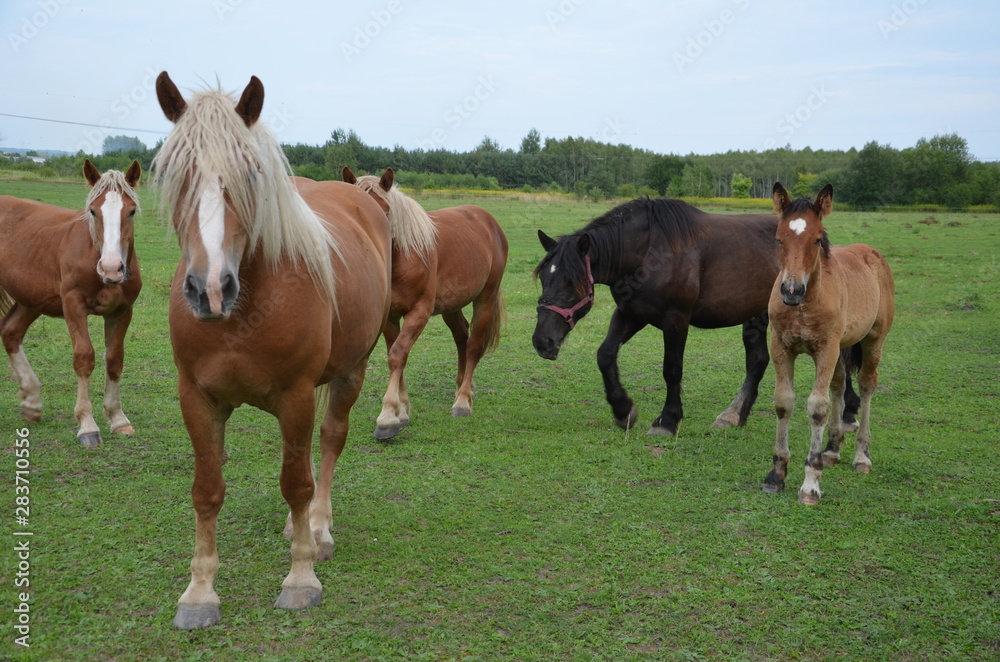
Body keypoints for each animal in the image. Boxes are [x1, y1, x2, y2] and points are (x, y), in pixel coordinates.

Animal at [0, 159, 142, 447]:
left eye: (131, 211)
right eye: (93, 211)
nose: (111, 269)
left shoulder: (122, 312)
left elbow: (115, 359)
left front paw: (118, 418)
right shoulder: (73, 306)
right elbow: (84, 358)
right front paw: (87, 426)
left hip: (30, 299)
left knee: (10, 333)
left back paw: (31, 403)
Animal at [153, 72, 391, 629]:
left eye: (250, 171)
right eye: (175, 171)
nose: (210, 288)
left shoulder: (297, 396)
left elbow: (297, 483)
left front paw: (301, 579)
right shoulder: (197, 399)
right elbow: (207, 489)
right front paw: (199, 593)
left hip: (351, 371)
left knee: (328, 443)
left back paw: (318, 529)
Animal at [341, 166, 508, 440]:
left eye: (385, 212)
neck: (404, 257)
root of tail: (488, 221)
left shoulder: (418, 312)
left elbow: (398, 355)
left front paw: (388, 417)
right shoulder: (390, 317)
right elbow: (394, 354)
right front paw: (402, 411)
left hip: (485, 297)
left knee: (473, 345)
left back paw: (463, 401)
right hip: (452, 305)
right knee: (461, 337)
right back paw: (464, 386)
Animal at [764, 183, 894, 505]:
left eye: (817, 239)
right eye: (779, 238)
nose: (791, 290)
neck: (804, 304)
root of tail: (872, 252)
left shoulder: (826, 350)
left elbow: (817, 408)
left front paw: (810, 483)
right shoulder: (780, 346)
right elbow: (784, 402)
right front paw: (776, 474)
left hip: (873, 341)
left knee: (867, 384)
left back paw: (861, 456)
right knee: (838, 384)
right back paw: (832, 449)